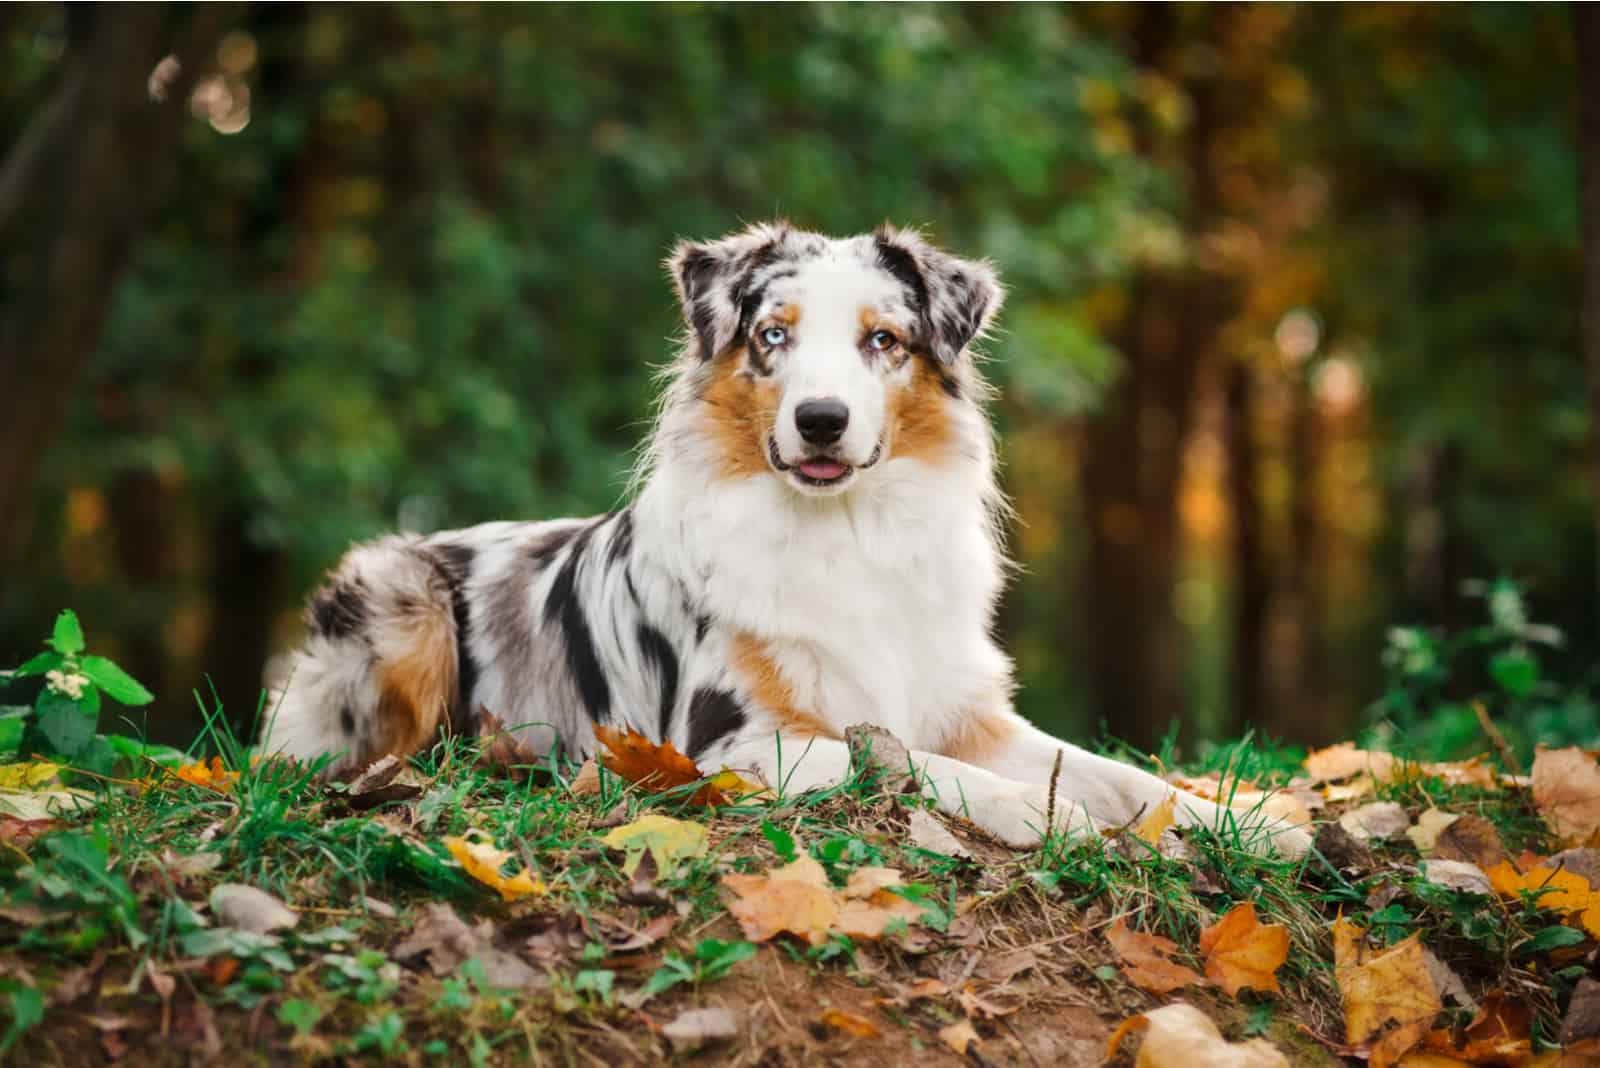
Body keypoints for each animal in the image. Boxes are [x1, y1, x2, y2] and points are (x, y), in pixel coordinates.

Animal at [265, 220, 1312, 856]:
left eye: (883, 341)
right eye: (773, 335)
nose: (820, 420)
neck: (844, 531)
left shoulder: (967, 711)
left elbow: (1115, 772)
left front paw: (1256, 823)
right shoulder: (730, 744)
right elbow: (899, 759)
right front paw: (1031, 812)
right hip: (399, 596)